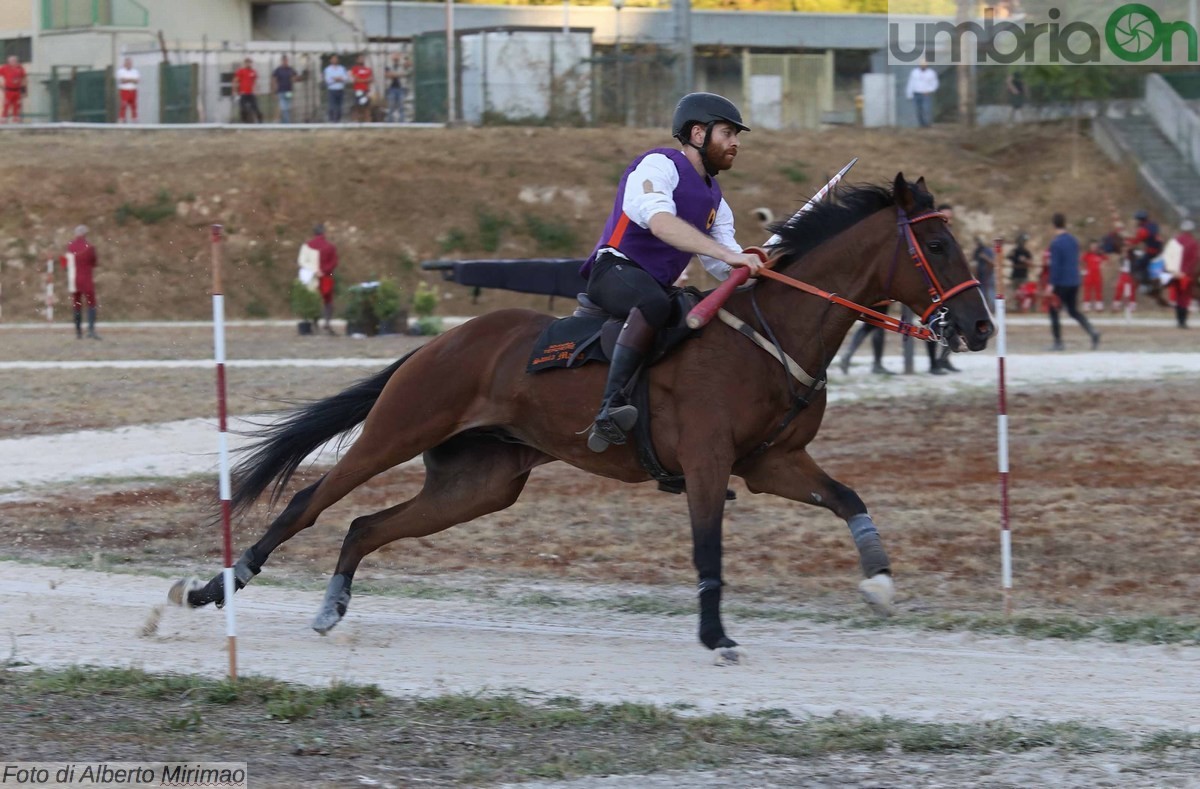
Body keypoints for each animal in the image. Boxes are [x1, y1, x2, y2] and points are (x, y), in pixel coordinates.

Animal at [171, 175, 993, 661]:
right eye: (938, 242)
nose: (980, 327)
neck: (769, 333)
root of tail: (441, 340)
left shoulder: (772, 464)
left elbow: (849, 498)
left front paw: (879, 580)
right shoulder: (708, 463)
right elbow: (708, 548)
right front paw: (714, 633)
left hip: (480, 482)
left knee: (366, 525)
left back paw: (333, 604)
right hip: (398, 430)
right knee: (313, 502)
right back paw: (219, 585)